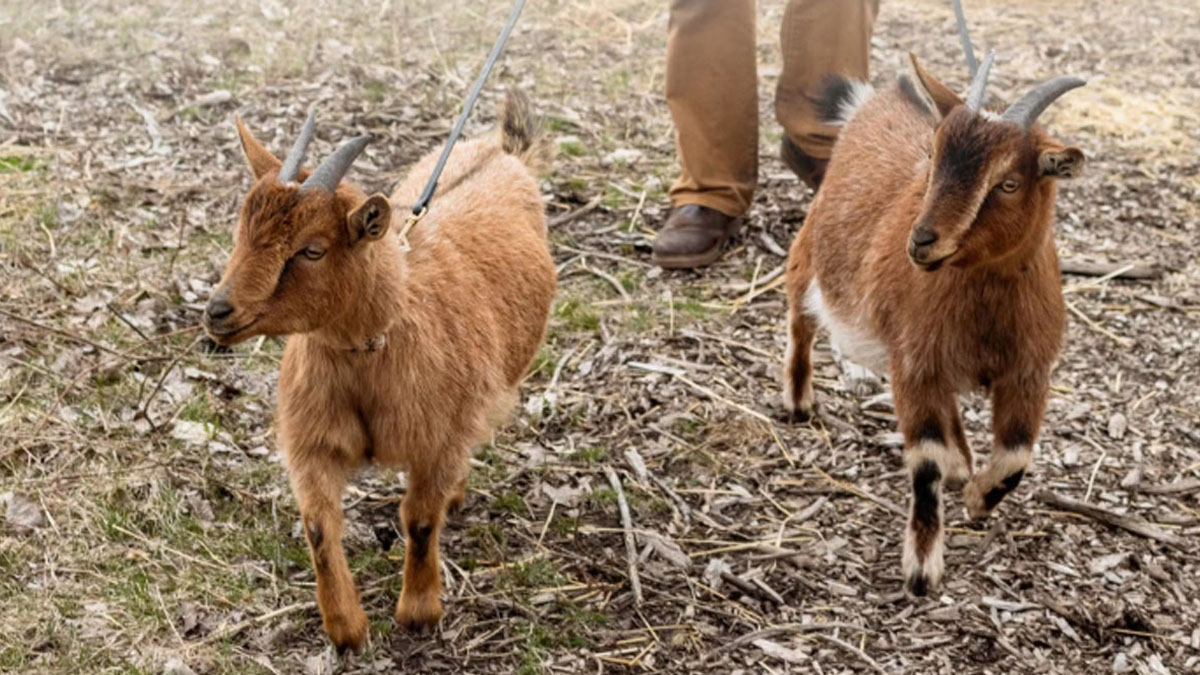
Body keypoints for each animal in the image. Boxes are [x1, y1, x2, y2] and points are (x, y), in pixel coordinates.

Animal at [202, 92, 556, 650]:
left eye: (311, 249)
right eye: (241, 231)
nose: (218, 311)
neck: (371, 356)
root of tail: (502, 152)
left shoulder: (437, 440)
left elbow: (420, 521)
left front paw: (419, 612)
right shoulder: (312, 444)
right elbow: (319, 525)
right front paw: (346, 629)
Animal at [781, 7, 1086, 595]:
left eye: (1008, 183)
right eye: (933, 155)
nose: (921, 241)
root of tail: (870, 103)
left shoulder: (1028, 372)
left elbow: (1016, 458)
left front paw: (977, 497)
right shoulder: (913, 364)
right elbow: (923, 463)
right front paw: (922, 569)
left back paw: (963, 465)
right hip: (808, 257)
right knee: (800, 323)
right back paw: (799, 400)